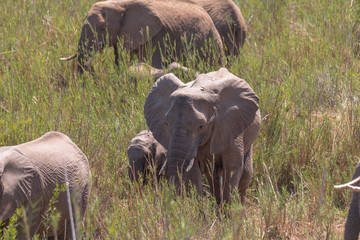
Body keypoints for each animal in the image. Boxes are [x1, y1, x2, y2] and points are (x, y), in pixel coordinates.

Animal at [144, 67, 262, 204]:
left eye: (201, 126)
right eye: (167, 123)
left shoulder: (231, 125)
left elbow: (232, 168)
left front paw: (229, 209)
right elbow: (193, 172)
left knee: (245, 174)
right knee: (212, 175)